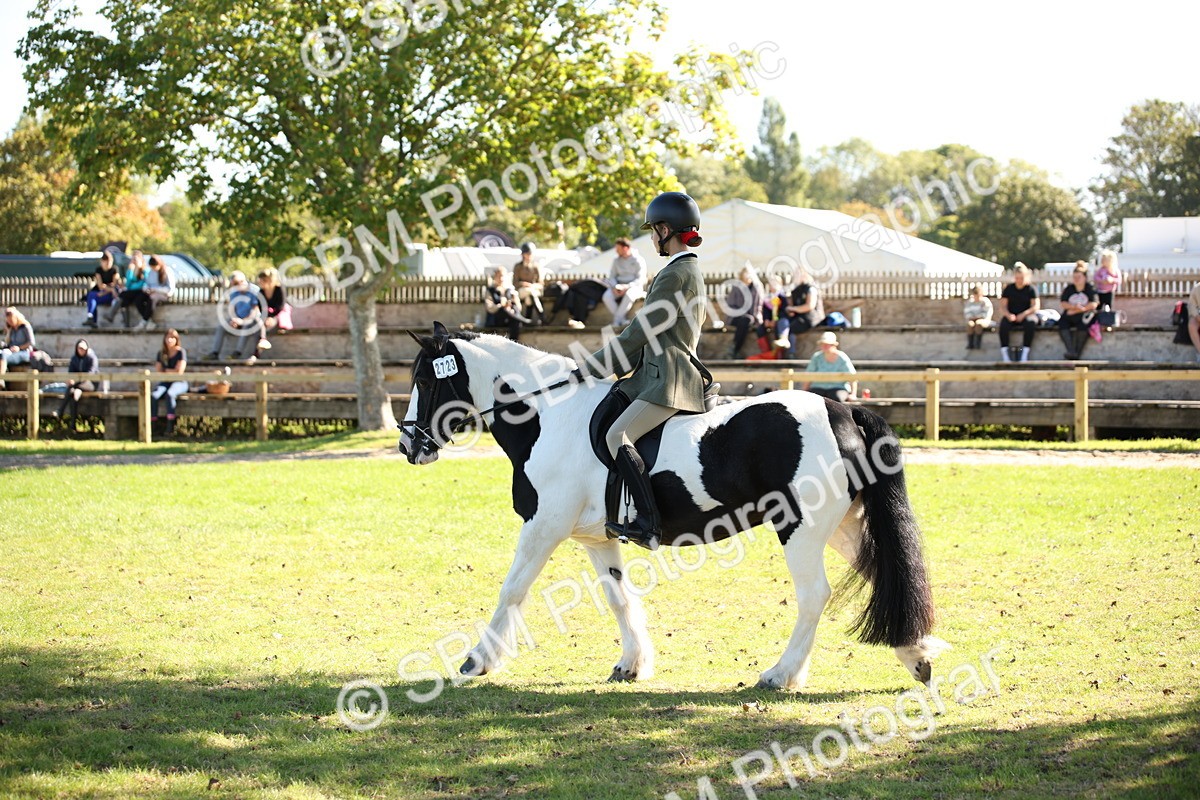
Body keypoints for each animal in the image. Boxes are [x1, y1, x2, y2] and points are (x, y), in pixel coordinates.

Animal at [398, 322, 947, 689]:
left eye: (425, 379)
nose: (409, 446)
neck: (549, 415)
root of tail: (842, 411)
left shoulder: (544, 526)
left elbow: (512, 589)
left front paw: (477, 661)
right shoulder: (596, 538)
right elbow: (618, 599)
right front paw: (632, 665)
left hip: (802, 528)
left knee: (815, 595)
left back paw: (781, 674)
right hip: (843, 526)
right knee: (883, 574)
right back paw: (916, 656)